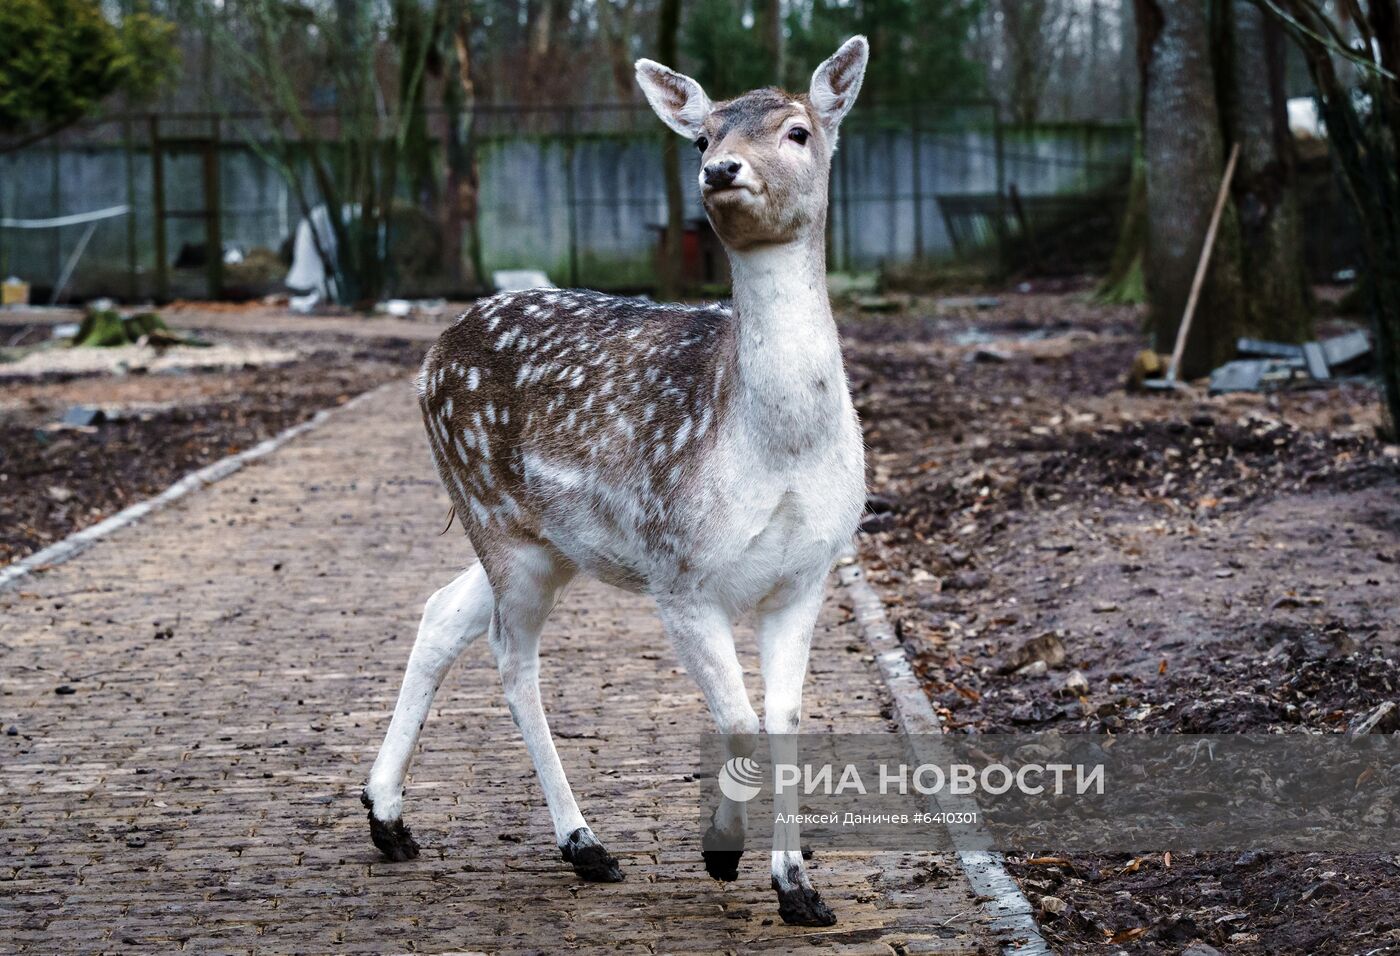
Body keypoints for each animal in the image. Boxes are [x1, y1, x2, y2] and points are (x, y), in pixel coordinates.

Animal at [361, 37, 862, 929]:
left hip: (537, 536)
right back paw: (584, 843)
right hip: (494, 513)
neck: (775, 450)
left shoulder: (809, 572)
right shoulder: (679, 571)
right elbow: (739, 721)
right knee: (511, 657)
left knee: (443, 609)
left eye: (799, 130)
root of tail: (427, 360)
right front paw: (722, 855)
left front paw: (801, 888)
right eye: (702, 135)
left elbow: (784, 719)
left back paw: (387, 818)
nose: (721, 170)